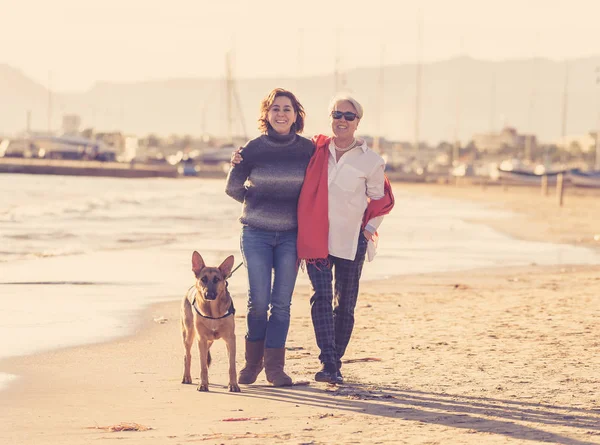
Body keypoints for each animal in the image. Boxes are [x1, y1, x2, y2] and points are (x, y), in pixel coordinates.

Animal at [182, 251, 240, 390]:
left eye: (216, 279)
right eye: (203, 279)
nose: (208, 295)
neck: (213, 312)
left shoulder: (230, 339)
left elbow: (232, 366)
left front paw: (233, 384)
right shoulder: (201, 339)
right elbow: (202, 365)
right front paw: (203, 384)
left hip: (209, 340)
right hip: (189, 335)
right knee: (187, 355)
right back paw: (187, 377)